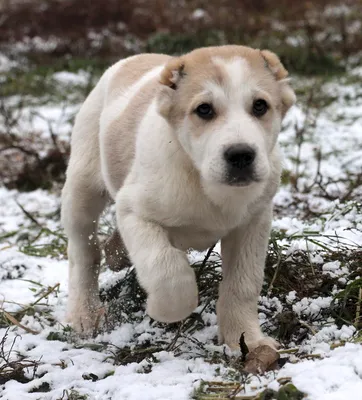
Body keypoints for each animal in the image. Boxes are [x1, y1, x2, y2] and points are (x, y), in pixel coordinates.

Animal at [60, 44, 296, 350]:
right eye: (204, 109)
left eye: (260, 106)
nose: (241, 155)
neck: (201, 178)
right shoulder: (134, 211)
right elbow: (167, 272)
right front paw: (163, 310)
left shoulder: (253, 222)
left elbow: (243, 283)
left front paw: (247, 339)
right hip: (82, 189)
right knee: (84, 251)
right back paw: (84, 314)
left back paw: (115, 254)